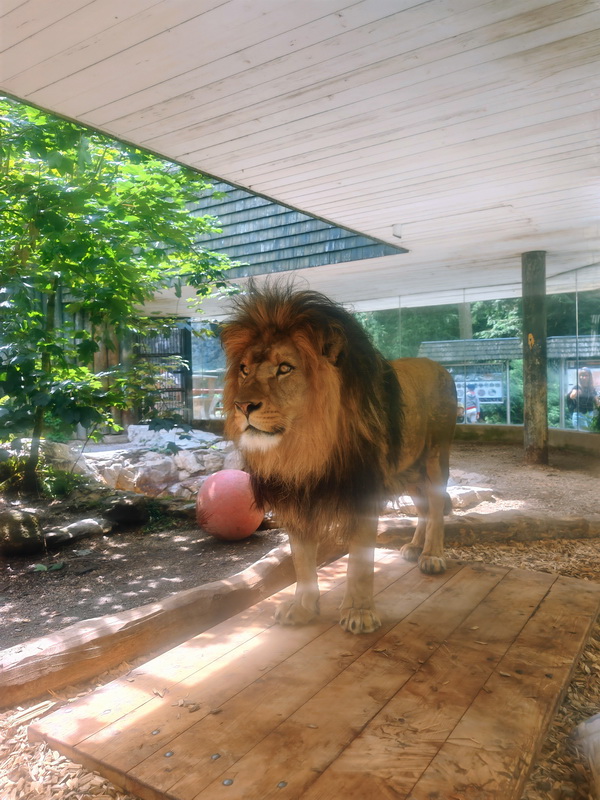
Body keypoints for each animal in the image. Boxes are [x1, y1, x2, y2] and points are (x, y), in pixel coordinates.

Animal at [221, 283, 457, 634]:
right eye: (244, 369)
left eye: (284, 368)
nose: (242, 406)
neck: (305, 448)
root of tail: (439, 366)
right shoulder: (295, 497)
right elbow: (301, 560)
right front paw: (302, 609)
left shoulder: (362, 490)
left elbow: (359, 561)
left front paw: (359, 613)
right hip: (408, 470)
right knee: (425, 507)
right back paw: (416, 547)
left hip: (435, 458)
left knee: (438, 506)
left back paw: (431, 555)